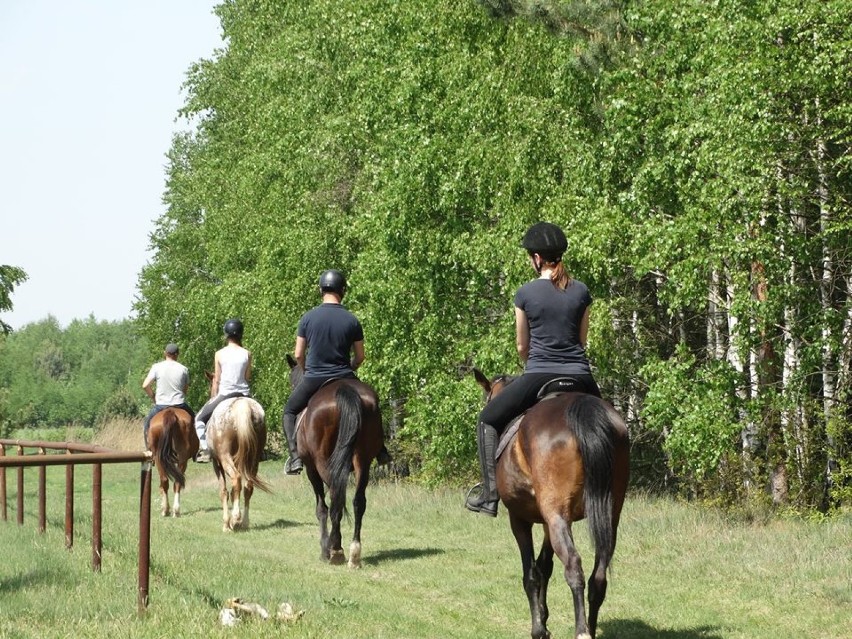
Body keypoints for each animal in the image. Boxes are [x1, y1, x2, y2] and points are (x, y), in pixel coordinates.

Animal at [207, 398, 272, 532]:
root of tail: (242, 403)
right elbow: (233, 492)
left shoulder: (217, 464)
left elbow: (224, 492)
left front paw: (226, 524)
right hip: (253, 460)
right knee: (248, 487)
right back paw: (244, 522)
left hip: (225, 458)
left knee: (236, 479)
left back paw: (236, 518)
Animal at [286, 356, 382, 568]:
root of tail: (345, 390)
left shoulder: (311, 469)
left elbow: (321, 508)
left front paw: (324, 549)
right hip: (363, 460)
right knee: (358, 501)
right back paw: (354, 554)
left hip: (323, 462)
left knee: (335, 498)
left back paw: (335, 549)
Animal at [476, 370, 628, 639]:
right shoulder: (550, 521)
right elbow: (544, 566)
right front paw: (544, 618)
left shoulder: (519, 519)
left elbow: (531, 573)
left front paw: (539, 628)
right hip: (606, 515)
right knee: (598, 576)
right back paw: (590, 627)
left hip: (556, 516)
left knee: (573, 566)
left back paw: (582, 631)